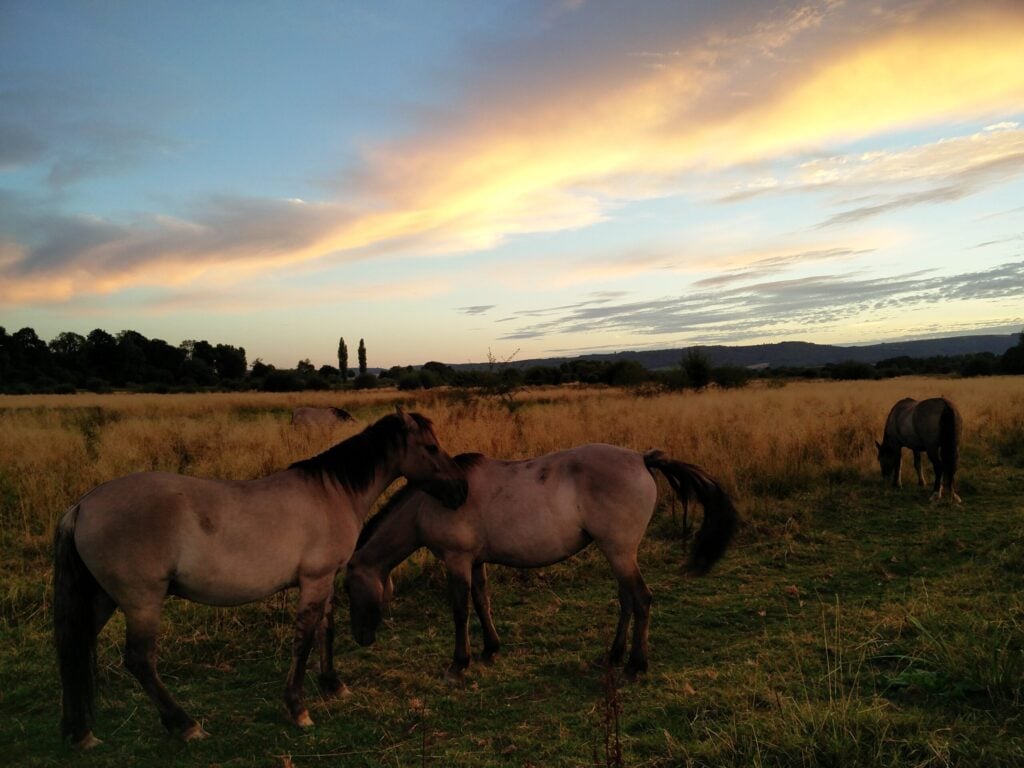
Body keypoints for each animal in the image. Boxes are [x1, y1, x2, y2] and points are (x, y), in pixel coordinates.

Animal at [53, 407, 467, 750]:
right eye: (431, 447)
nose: (461, 491)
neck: (332, 493)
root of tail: (82, 506)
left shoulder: (325, 581)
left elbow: (326, 632)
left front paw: (333, 686)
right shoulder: (315, 581)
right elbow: (304, 641)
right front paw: (298, 709)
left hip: (103, 598)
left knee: (75, 648)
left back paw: (80, 732)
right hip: (142, 602)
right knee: (140, 661)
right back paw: (185, 725)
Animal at [346, 444, 738, 682]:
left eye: (348, 593)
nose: (361, 639)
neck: (433, 501)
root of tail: (643, 458)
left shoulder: (456, 561)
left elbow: (460, 610)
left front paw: (459, 663)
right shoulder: (475, 561)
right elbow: (482, 602)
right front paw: (490, 649)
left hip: (619, 551)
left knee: (641, 600)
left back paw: (635, 665)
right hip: (618, 553)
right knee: (627, 601)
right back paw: (613, 655)